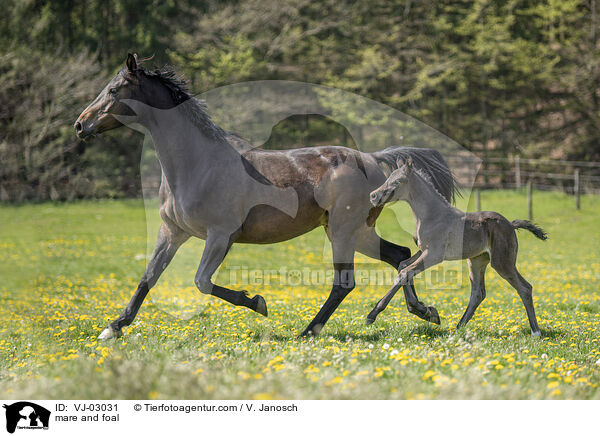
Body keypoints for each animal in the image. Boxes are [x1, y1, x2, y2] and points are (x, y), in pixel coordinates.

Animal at [366, 158, 548, 336]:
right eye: (388, 178)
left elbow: (404, 273)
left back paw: (535, 332)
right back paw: (458, 328)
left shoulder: (433, 255)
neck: (432, 215)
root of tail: (510, 224)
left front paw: (373, 314)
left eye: (397, 182)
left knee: (525, 288)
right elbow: (403, 267)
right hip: (476, 261)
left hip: (502, 262)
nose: (373, 196)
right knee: (477, 294)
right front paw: (424, 310)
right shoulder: (423, 251)